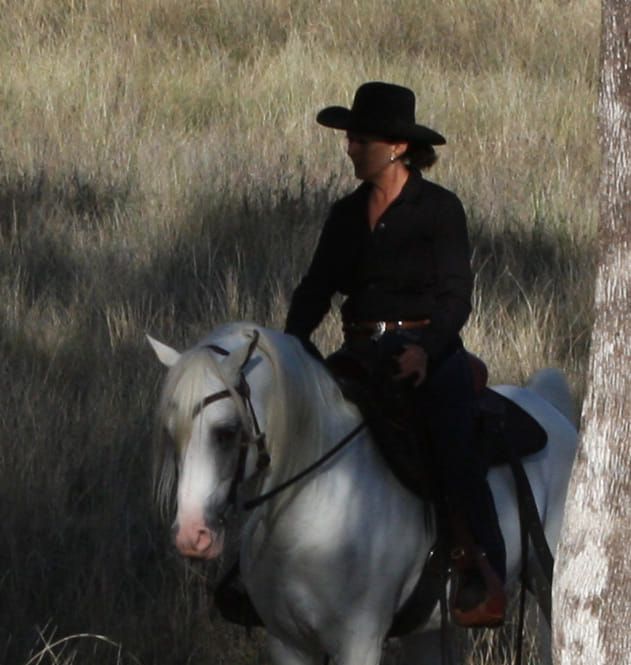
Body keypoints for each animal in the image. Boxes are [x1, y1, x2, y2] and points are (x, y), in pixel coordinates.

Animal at [148, 322, 576, 664]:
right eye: (169, 432)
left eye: (226, 431)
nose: (191, 535)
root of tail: (549, 408)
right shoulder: (288, 643)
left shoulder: (359, 642)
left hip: (548, 590)